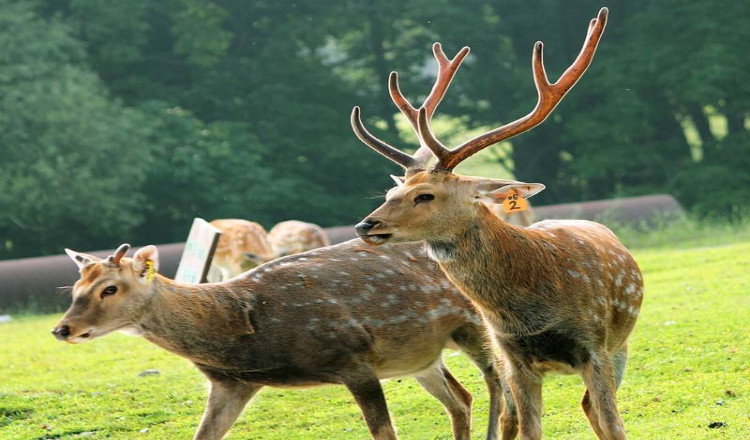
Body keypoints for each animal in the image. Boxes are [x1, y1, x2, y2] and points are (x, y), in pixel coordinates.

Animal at [53, 242, 520, 440]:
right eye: (76, 285)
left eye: (110, 288)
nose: (62, 329)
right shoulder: (231, 384)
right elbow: (203, 435)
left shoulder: (352, 358)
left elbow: (384, 433)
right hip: (419, 356)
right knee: (460, 399)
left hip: (476, 323)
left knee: (499, 385)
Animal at [354, 7, 648, 440]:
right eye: (392, 192)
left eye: (425, 195)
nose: (366, 226)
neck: (529, 310)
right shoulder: (513, 357)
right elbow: (529, 429)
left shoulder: (595, 345)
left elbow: (614, 424)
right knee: (513, 416)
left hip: (620, 346)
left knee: (592, 409)